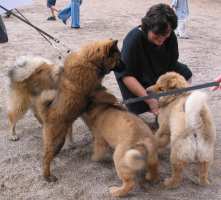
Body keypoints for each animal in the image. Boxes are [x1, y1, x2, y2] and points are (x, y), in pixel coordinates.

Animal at [35, 38, 122, 182]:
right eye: (119, 58)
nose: (125, 66)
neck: (90, 61)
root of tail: (46, 114)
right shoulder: (95, 91)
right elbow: (109, 96)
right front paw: (118, 100)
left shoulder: (98, 88)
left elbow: (107, 93)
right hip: (57, 141)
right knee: (46, 158)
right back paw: (48, 176)